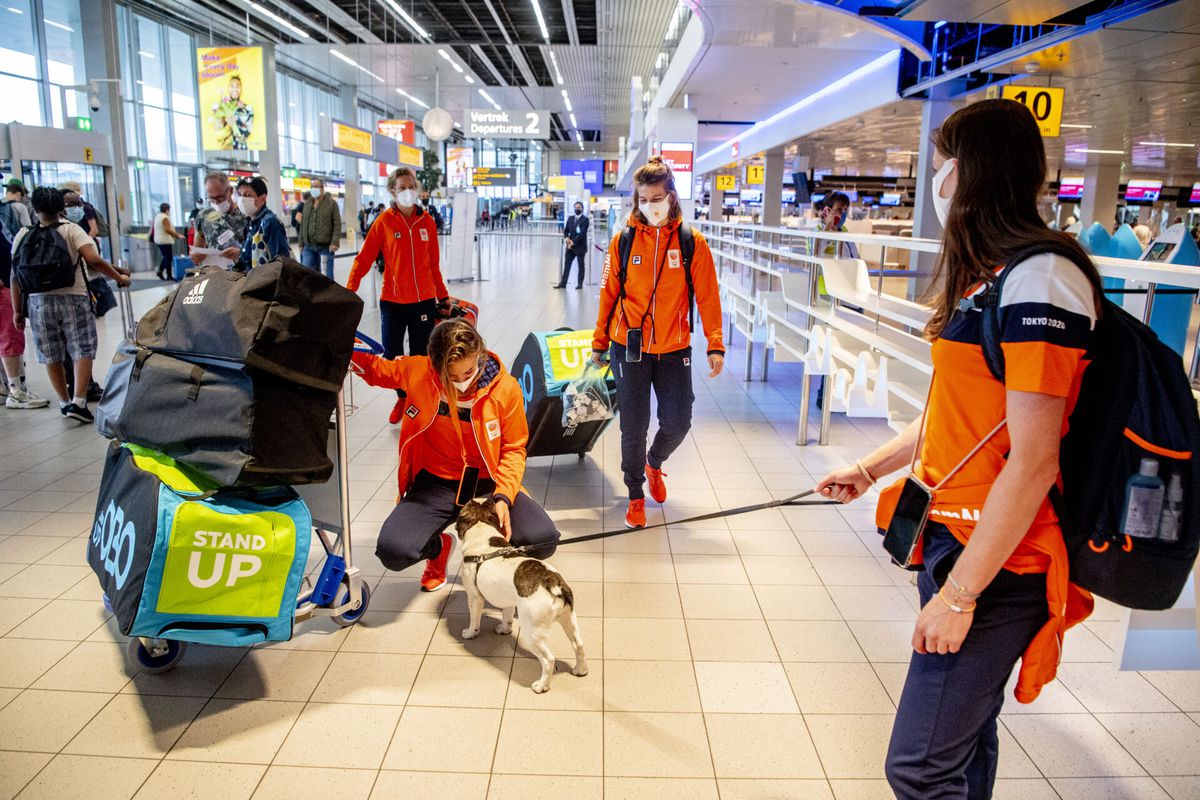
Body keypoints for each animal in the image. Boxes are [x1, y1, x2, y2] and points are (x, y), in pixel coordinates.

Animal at [456, 501, 588, 695]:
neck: (482, 527)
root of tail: (552, 581)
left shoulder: (474, 597)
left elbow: (474, 619)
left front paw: (470, 633)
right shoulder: (509, 600)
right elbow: (507, 616)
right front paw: (504, 629)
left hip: (532, 630)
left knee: (548, 659)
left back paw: (541, 685)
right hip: (569, 618)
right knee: (578, 644)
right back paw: (580, 670)